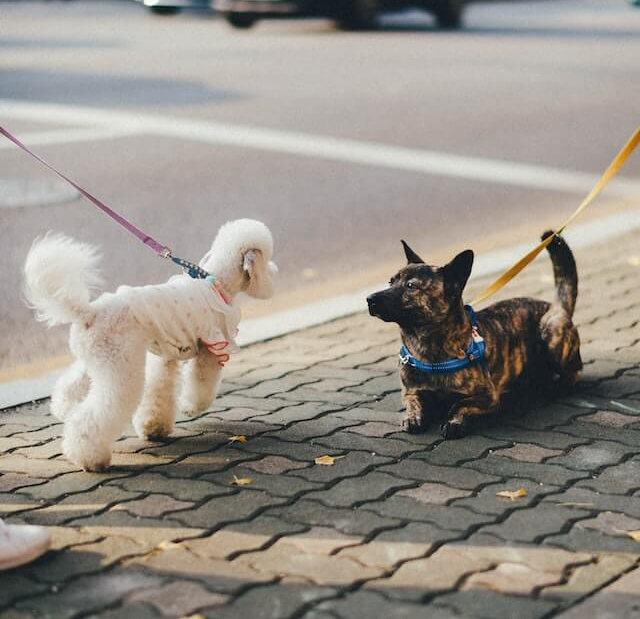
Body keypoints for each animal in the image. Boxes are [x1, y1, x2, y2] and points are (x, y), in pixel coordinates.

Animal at [364, 232, 580, 440]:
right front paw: (412, 417)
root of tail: (556, 307)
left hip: (552, 334)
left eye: (411, 286)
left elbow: (460, 404)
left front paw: (454, 422)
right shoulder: (410, 391)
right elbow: (413, 402)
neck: (426, 346)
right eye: (390, 282)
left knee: (572, 374)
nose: (369, 299)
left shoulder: (488, 396)